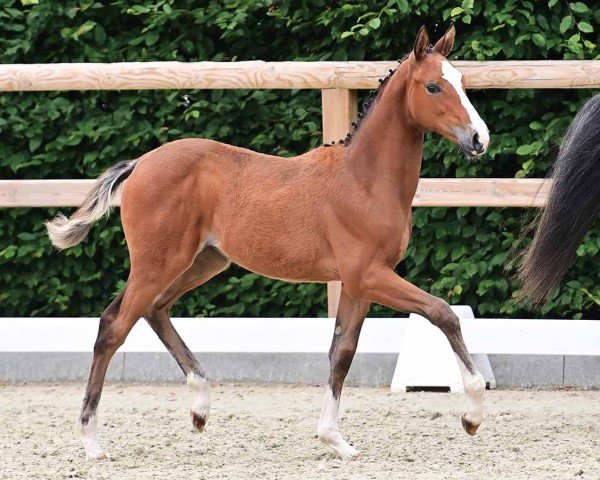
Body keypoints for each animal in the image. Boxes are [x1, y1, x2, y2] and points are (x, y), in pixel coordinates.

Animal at [47, 24, 488, 460]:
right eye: (432, 86)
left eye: (463, 82)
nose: (479, 138)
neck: (364, 180)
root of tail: (140, 163)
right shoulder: (369, 276)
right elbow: (442, 313)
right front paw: (471, 416)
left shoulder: (357, 283)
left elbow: (342, 352)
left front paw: (334, 439)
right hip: (158, 263)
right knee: (114, 326)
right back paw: (92, 442)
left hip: (203, 261)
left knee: (153, 310)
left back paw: (200, 409)